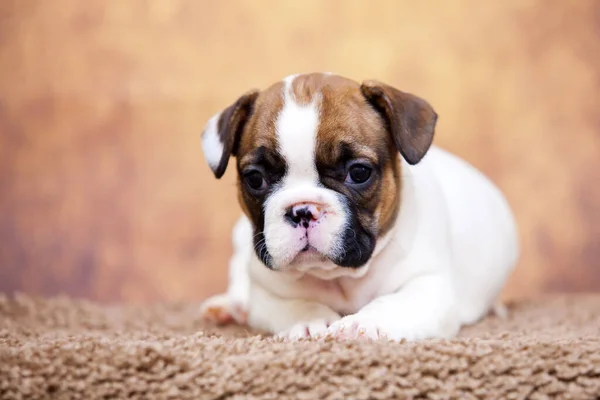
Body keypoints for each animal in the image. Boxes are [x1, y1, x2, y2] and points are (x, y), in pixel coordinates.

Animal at [199, 72, 516, 340]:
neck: (340, 276)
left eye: (359, 172)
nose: (302, 210)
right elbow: (295, 304)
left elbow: (393, 303)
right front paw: (309, 320)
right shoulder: (266, 294)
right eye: (255, 179)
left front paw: (362, 323)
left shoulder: (429, 288)